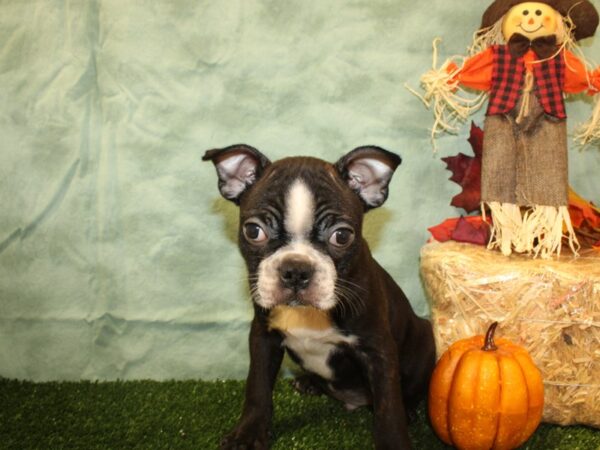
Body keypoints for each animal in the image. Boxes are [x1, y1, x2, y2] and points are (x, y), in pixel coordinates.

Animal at [204, 145, 434, 450]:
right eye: (253, 231)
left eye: (342, 236)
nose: (296, 270)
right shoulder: (264, 335)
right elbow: (257, 387)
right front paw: (247, 434)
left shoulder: (378, 348)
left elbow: (388, 407)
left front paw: (394, 440)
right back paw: (309, 383)